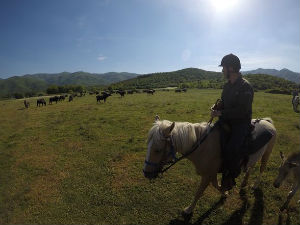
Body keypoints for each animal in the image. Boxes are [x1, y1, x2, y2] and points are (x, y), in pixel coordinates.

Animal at [143, 116, 276, 218]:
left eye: (157, 150)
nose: (146, 173)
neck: (202, 146)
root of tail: (267, 121)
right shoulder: (211, 173)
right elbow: (216, 185)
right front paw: (225, 192)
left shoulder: (207, 175)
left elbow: (199, 192)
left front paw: (189, 210)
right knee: (250, 168)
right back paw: (244, 183)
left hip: (267, 153)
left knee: (261, 169)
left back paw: (255, 185)